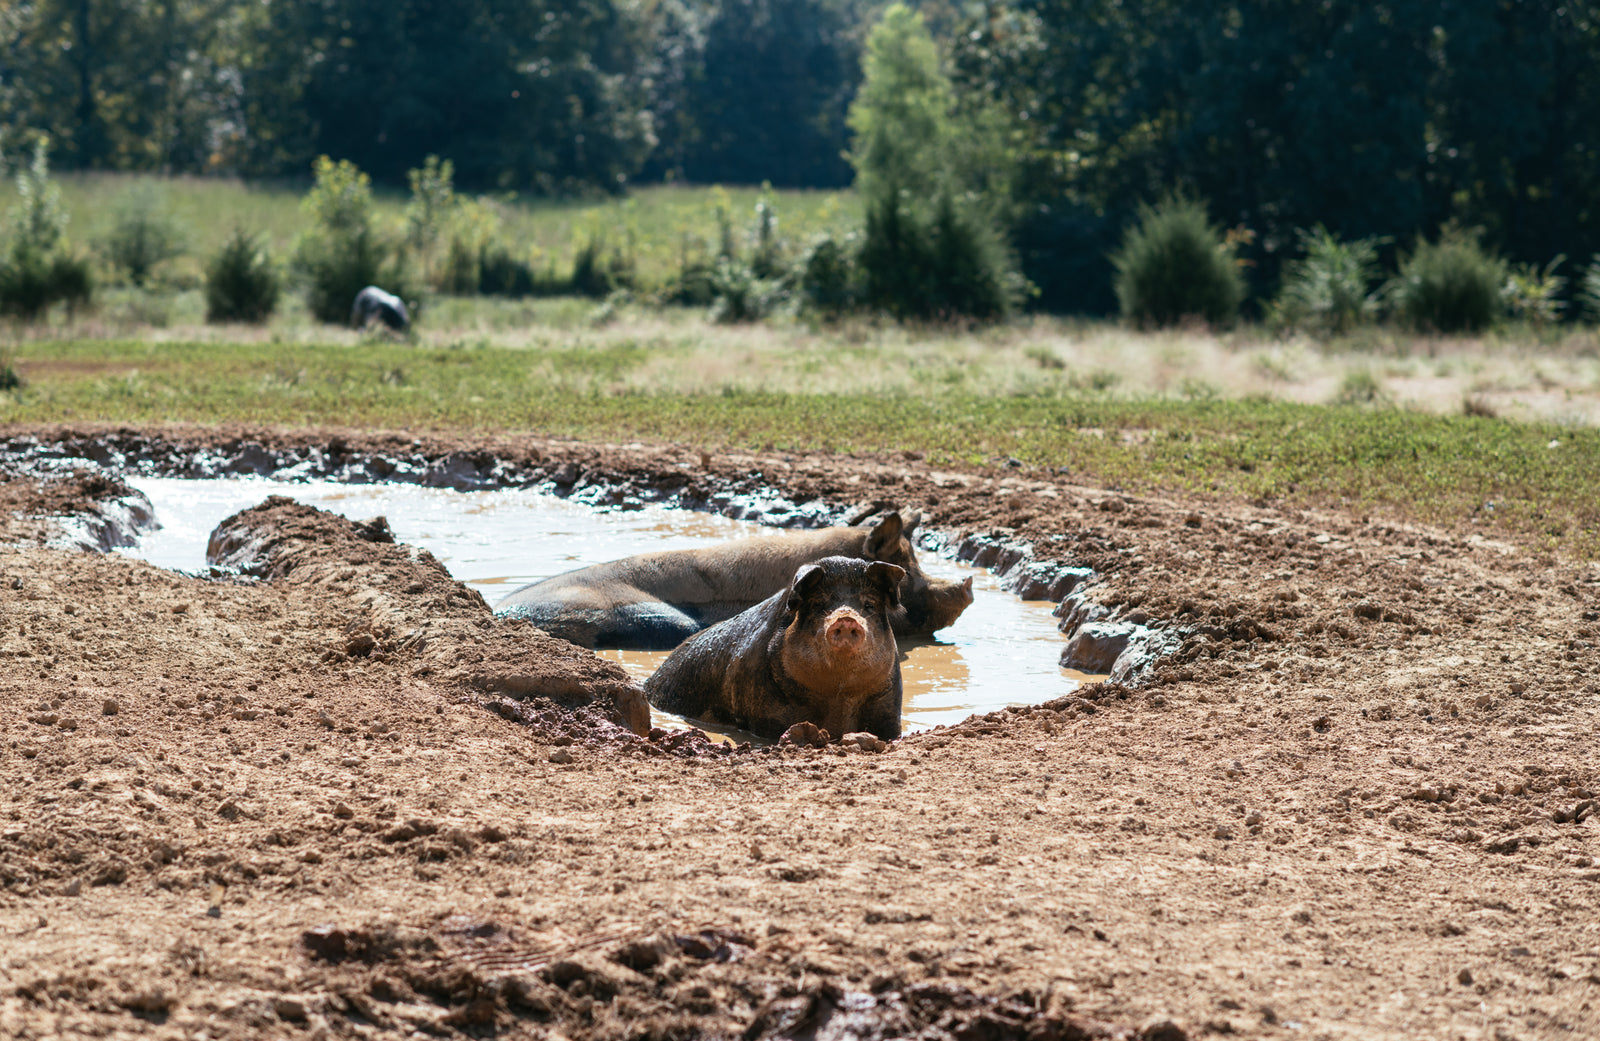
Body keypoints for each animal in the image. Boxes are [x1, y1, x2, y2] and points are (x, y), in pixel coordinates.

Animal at [643, 556, 908, 745]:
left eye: (869, 605)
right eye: (819, 604)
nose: (846, 619)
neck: (839, 696)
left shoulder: (887, 707)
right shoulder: (767, 716)